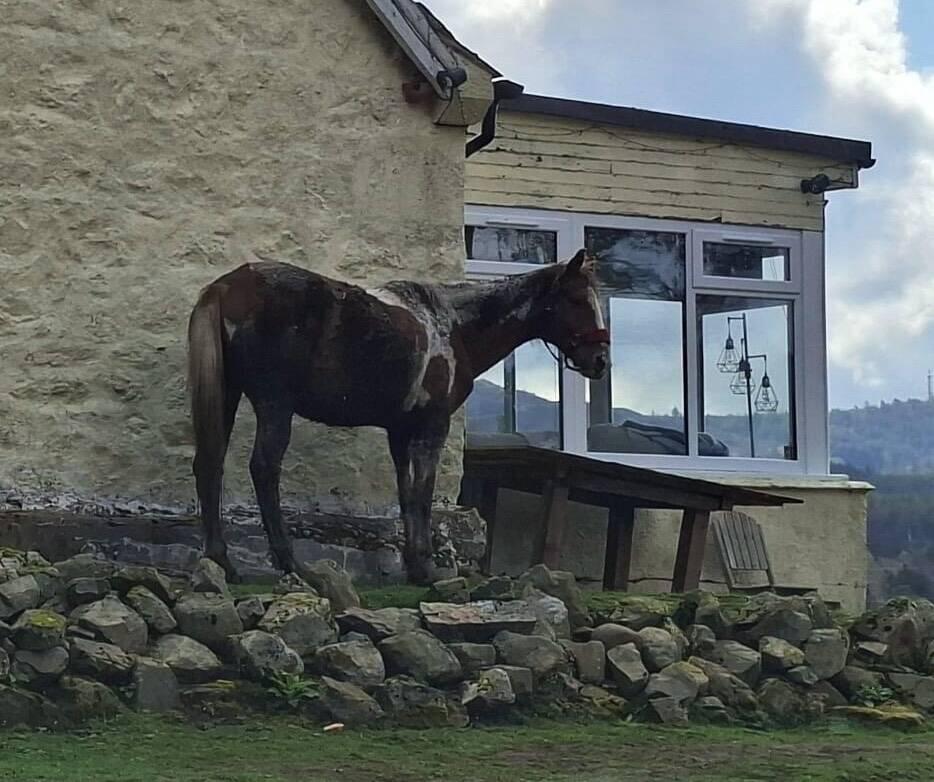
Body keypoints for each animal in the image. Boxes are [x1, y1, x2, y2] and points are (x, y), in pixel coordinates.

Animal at [187, 249, 609, 585]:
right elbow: (422, 493)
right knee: (264, 468)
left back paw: (222, 561)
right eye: (575, 298)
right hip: (275, 405)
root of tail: (227, 287)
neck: (454, 326)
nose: (601, 361)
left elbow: (406, 493)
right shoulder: (432, 425)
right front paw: (424, 569)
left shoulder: (400, 432)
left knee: (210, 463)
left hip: (228, 395)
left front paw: (413, 566)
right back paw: (290, 562)